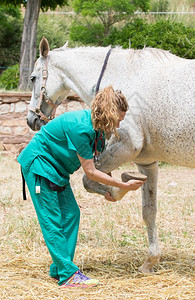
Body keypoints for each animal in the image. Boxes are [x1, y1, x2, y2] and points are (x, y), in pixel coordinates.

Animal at [26, 36, 194, 274]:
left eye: (33, 77)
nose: (31, 119)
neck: (124, 76)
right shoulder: (147, 163)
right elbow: (149, 211)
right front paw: (150, 261)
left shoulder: (126, 146)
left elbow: (89, 181)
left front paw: (116, 190)